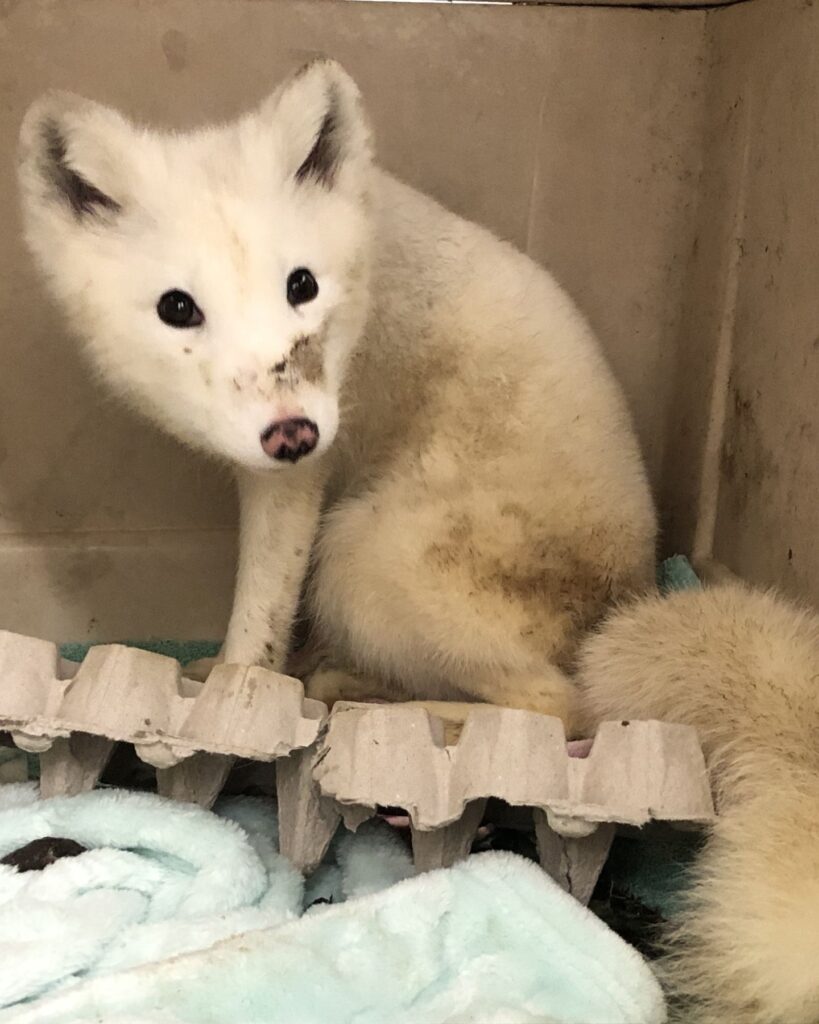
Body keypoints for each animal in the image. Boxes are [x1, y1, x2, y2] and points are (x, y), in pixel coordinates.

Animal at [17, 59, 656, 726]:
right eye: (177, 308)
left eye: (303, 285)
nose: (294, 434)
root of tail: (627, 592)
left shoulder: (293, 483)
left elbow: (256, 624)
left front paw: (230, 700)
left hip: (357, 558)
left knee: (560, 707)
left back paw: (365, 699)